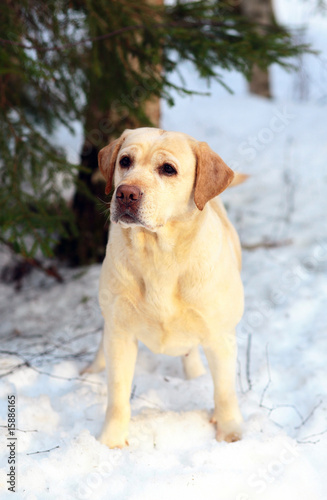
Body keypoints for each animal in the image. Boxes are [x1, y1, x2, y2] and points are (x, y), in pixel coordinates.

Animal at [83, 127, 245, 448]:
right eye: (125, 161)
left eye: (168, 169)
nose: (126, 193)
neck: (159, 256)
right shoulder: (121, 333)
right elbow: (117, 396)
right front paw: (110, 442)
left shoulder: (220, 335)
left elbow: (225, 391)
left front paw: (229, 432)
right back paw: (92, 370)